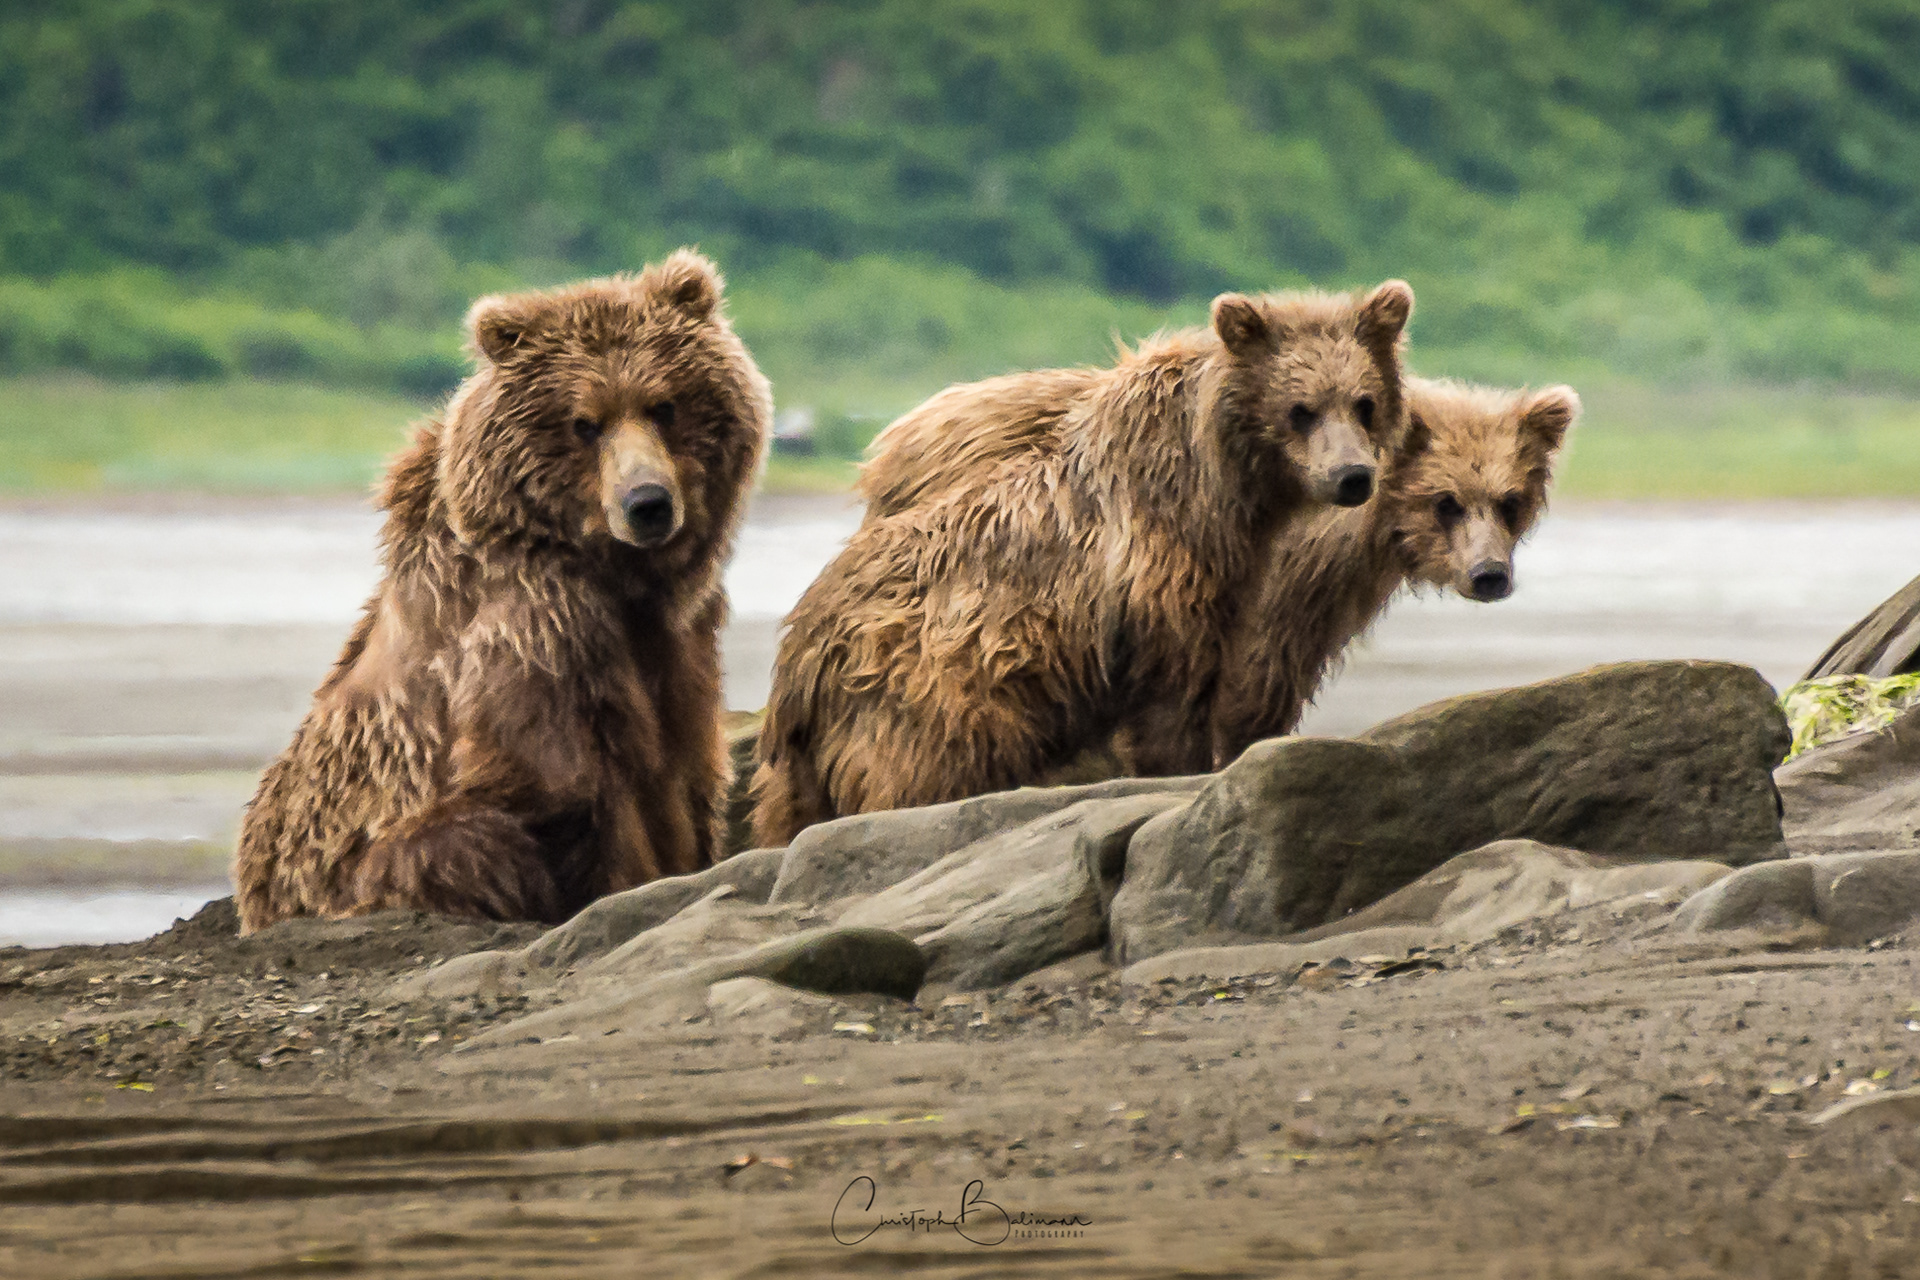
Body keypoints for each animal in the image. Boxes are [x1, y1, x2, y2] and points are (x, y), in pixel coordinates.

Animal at [234, 251, 771, 933]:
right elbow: (567, 781)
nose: (648, 503)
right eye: (584, 423)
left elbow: (681, 766)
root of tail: (251, 900)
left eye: (664, 405)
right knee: (466, 844)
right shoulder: (535, 622)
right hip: (363, 857)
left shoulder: (680, 634)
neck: (607, 570)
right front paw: (620, 884)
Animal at [749, 281, 1414, 846]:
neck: (1218, 485)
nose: (1353, 475)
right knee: (909, 779)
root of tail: (796, 659)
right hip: (926, 697)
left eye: (1364, 402)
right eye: (1301, 408)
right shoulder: (1155, 580)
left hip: (812, 755)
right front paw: (1185, 771)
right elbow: (1172, 698)